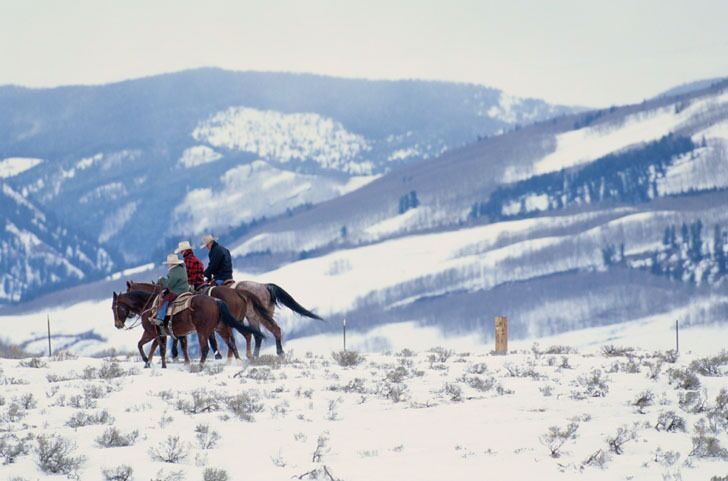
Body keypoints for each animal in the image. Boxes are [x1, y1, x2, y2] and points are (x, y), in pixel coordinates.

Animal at [111, 290, 266, 366]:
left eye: (114, 307)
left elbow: (144, 346)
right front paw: (150, 363)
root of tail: (216, 301)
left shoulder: (151, 333)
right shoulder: (166, 334)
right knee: (232, 343)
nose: (117, 325)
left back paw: (200, 367)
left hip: (203, 332)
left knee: (206, 348)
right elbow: (172, 347)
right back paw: (238, 362)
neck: (149, 306)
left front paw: (147, 361)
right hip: (221, 328)